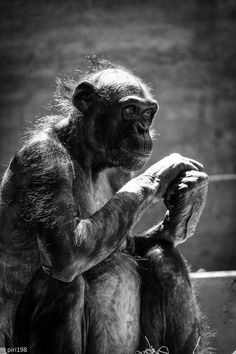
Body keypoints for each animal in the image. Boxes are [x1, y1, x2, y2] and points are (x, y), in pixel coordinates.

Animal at [0, 59, 208, 352]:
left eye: (147, 113)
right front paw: (164, 171)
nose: (142, 129)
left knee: (164, 255)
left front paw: (187, 208)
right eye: (130, 110)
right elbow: (67, 250)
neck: (86, 157)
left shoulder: (121, 171)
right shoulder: (44, 161)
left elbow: (130, 242)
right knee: (64, 282)